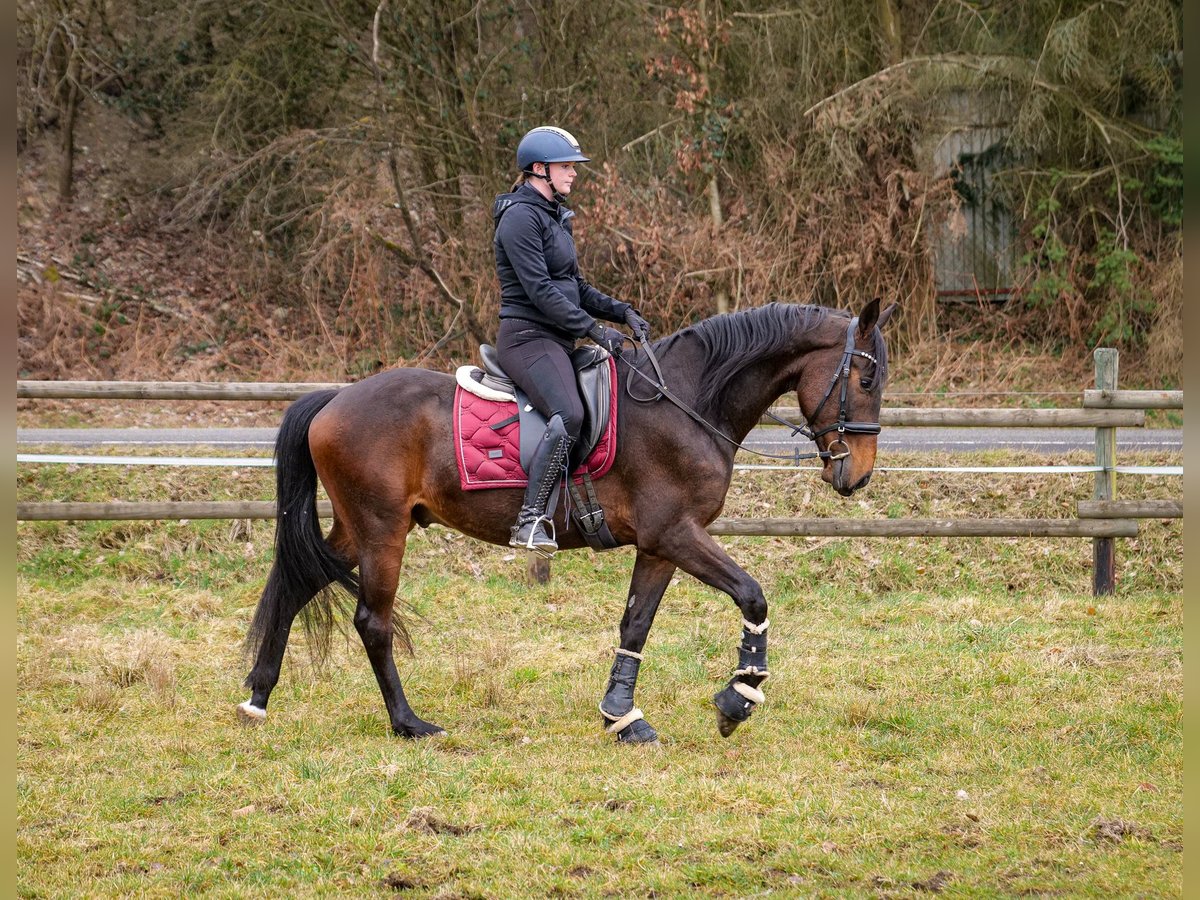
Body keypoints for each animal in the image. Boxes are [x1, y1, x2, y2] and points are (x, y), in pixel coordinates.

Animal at [238, 300, 897, 744]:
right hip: (382, 531)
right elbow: (753, 596)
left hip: (359, 529)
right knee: (371, 621)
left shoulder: (660, 545)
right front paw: (738, 698)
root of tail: (335, 399)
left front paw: (623, 716)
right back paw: (408, 722)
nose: (858, 475)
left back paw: (259, 696)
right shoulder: (677, 533)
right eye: (865, 379)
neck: (687, 401)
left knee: (296, 584)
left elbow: (635, 625)